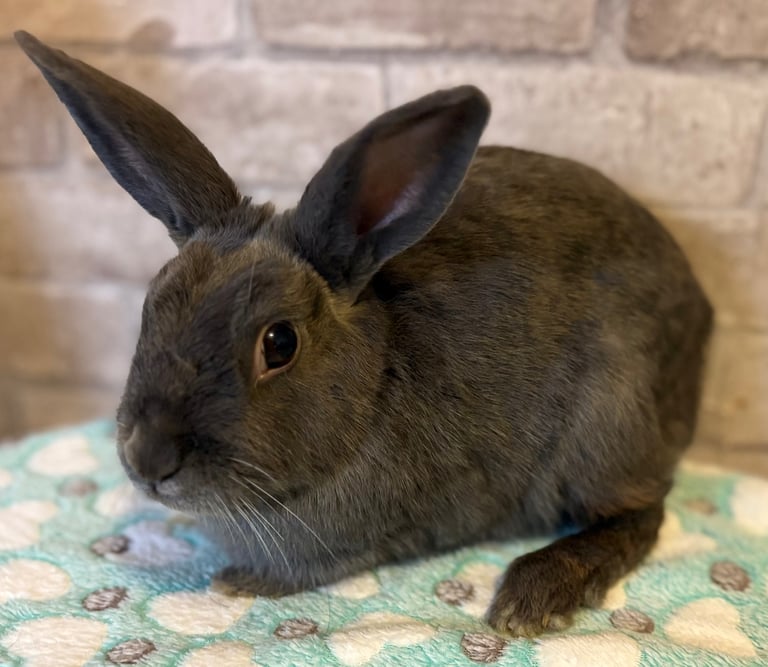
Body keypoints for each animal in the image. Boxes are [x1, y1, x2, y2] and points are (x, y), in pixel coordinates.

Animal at [16, 30, 713, 637]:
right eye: (151, 304)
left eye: (279, 343)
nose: (149, 459)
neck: (373, 387)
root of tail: (700, 318)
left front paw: (242, 581)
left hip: (612, 414)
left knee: (643, 511)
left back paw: (533, 595)